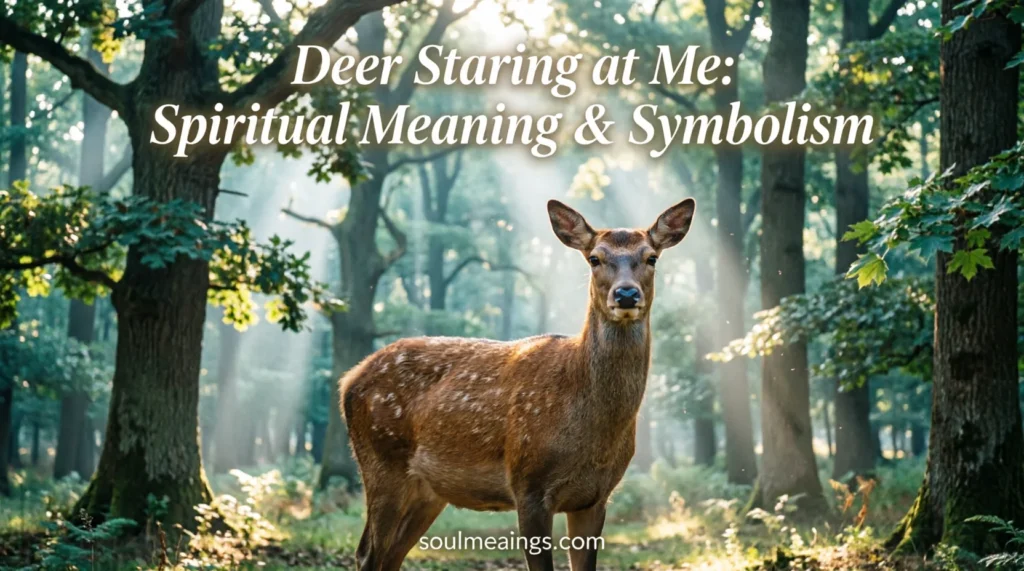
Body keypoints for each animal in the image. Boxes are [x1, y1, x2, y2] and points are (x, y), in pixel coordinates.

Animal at [341, 198, 696, 571]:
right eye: (595, 258)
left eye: (651, 257)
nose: (626, 294)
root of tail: (348, 380)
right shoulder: (528, 484)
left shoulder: (596, 497)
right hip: (381, 462)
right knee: (368, 553)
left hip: (427, 490)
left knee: (389, 555)